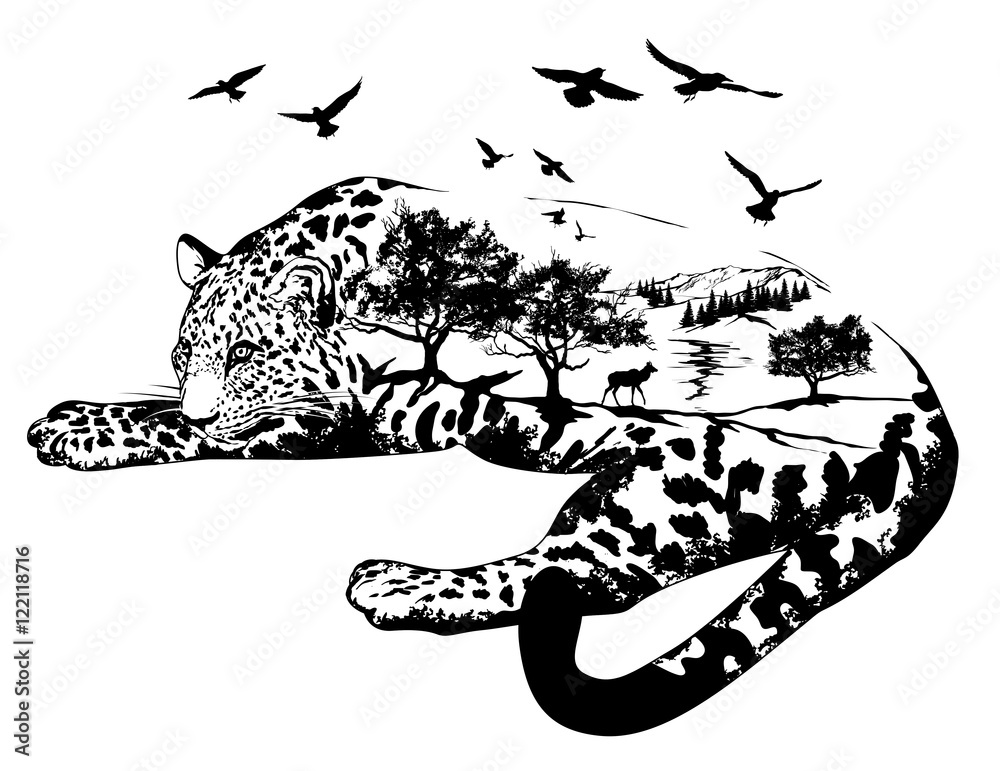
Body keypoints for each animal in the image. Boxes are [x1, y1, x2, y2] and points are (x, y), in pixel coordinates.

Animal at [27, 176, 958, 735]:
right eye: (184, 352)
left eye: (249, 354)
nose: (203, 395)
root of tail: (932, 416)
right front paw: (83, 412)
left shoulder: (348, 417)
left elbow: (184, 430)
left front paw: (81, 428)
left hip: (667, 483)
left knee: (579, 577)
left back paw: (397, 584)